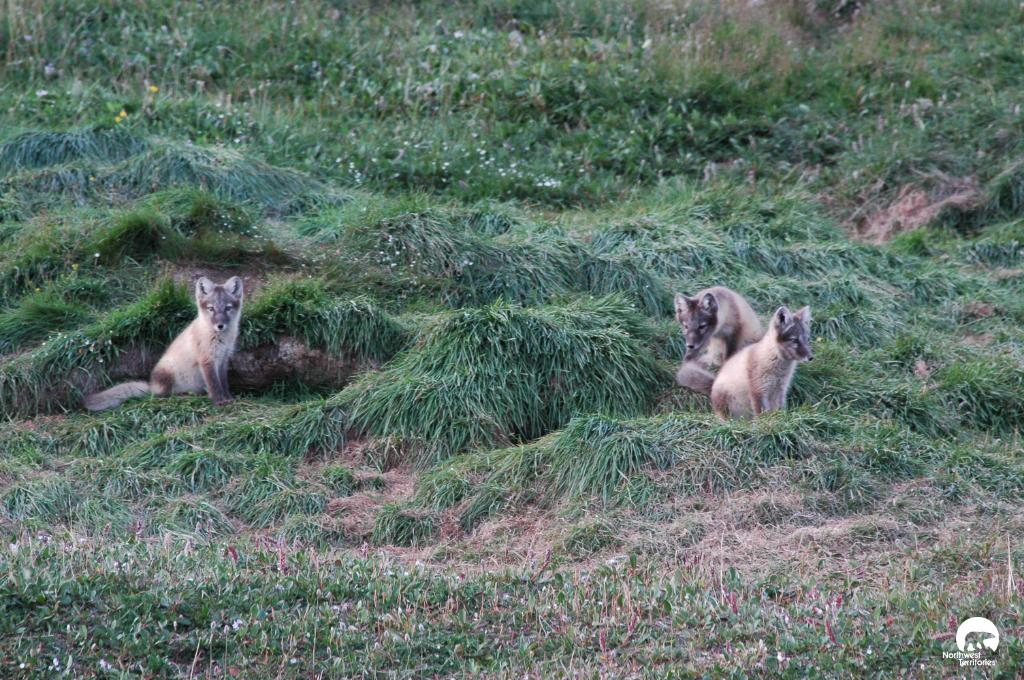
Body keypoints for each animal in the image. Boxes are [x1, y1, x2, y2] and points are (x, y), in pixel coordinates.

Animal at [83, 277, 244, 411]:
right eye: (211, 308)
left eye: (228, 308)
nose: (220, 326)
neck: (221, 338)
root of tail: (151, 385)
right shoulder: (207, 360)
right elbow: (214, 384)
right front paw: (219, 401)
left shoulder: (223, 359)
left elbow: (223, 382)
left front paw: (228, 398)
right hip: (168, 372)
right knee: (162, 396)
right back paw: (183, 396)